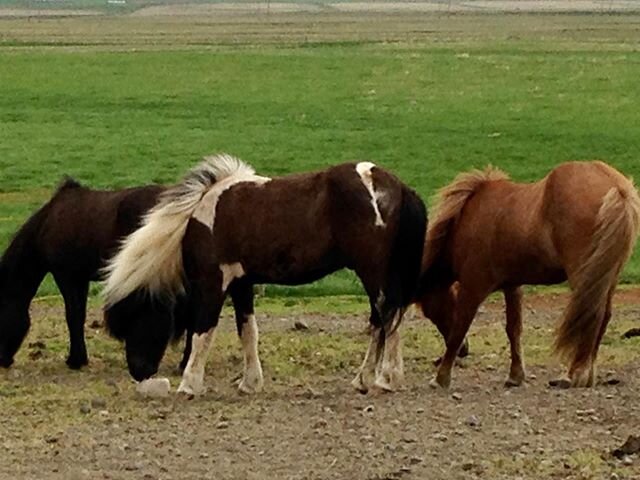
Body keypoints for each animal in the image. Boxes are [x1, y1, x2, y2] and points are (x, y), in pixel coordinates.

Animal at [102, 154, 428, 394]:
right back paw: (366, 379)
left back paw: (384, 378)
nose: (139, 373)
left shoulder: (213, 283)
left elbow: (203, 332)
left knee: (386, 316)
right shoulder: (241, 284)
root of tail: (396, 185)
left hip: (372, 272)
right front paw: (250, 383)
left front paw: (189, 385)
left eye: (136, 317)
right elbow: (248, 332)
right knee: (383, 319)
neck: (200, 217)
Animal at [420, 161, 640, 390]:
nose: (465, 351)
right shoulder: (512, 286)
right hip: (607, 276)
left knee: (590, 316)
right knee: (603, 316)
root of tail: (617, 188)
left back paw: (575, 374)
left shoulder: (473, 287)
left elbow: (459, 329)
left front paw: (441, 378)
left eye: (432, 311)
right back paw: (587, 375)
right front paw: (515, 375)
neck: (469, 219)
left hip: (584, 276)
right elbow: (514, 329)